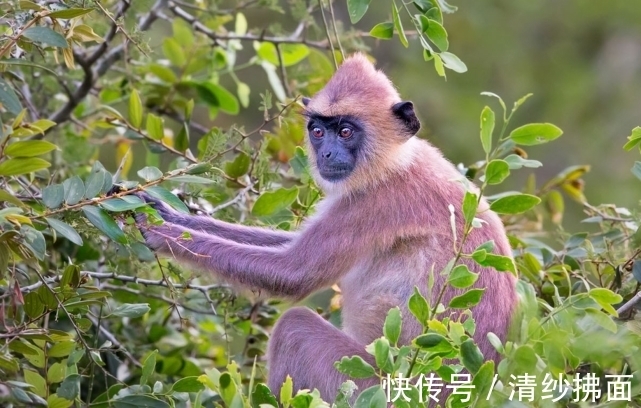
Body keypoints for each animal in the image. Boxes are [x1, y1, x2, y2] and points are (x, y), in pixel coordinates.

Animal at [134, 53, 516, 402]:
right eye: (318, 131)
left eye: (345, 132)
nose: (326, 154)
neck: (396, 162)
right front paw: (162, 211)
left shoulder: (377, 202)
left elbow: (294, 273)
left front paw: (158, 231)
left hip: (370, 387)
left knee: (295, 327)